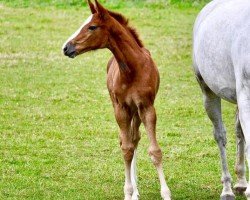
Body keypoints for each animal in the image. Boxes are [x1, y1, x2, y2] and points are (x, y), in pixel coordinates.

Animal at [62, 0, 171, 199]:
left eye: (92, 26)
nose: (66, 48)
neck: (133, 69)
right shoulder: (121, 108)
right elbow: (126, 149)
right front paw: (128, 191)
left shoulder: (147, 107)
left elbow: (154, 150)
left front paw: (166, 193)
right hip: (122, 109)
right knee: (127, 142)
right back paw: (133, 190)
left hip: (136, 112)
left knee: (135, 139)